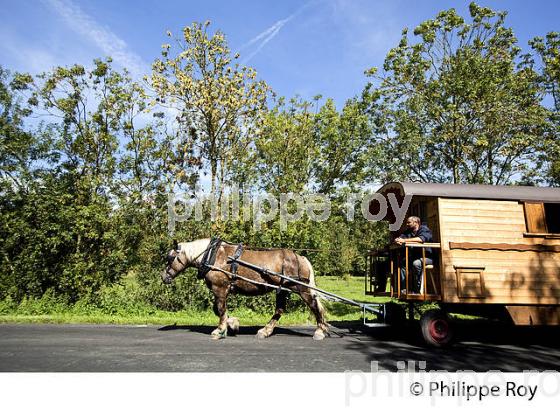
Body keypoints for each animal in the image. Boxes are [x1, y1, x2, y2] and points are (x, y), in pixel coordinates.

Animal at [161, 237, 328, 340]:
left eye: (170, 258)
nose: (163, 277)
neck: (212, 256)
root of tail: (301, 258)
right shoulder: (221, 290)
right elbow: (219, 310)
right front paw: (232, 324)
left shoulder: (219, 288)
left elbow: (220, 309)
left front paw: (220, 330)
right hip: (282, 289)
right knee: (279, 310)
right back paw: (265, 331)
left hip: (301, 289)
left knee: (314, 306)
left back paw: (319, 331)